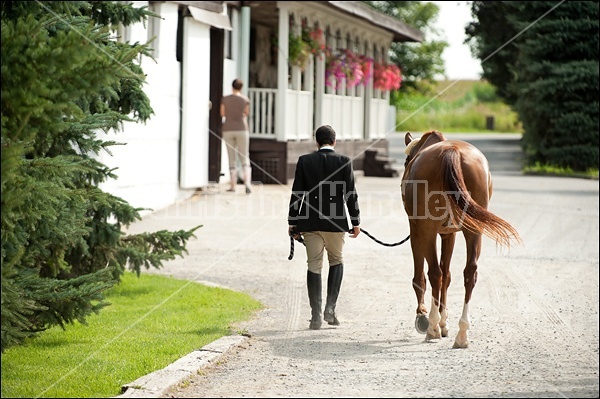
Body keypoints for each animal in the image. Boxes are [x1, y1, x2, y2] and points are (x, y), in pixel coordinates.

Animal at [404, 130, 520, 346]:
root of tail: (452, 152)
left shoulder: (417, 230)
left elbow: (422, 276)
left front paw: (424, 317)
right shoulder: (449, 234)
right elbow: (448, 275)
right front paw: (444, 322)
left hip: (427, 230)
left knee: (435, 274)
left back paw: (432, 327)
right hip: (474, 229)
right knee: (469, 273)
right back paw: (462, 333)